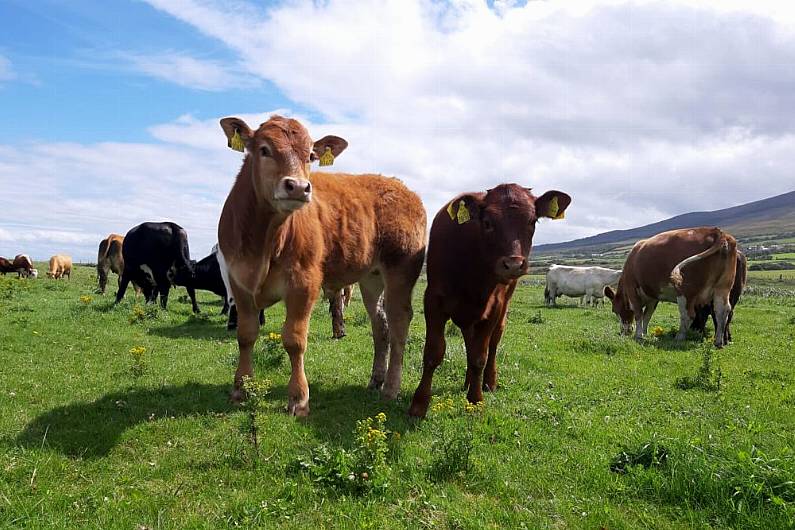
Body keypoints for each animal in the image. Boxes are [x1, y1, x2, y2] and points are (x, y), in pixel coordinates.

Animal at [216, 114, 430, 412]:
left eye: (310, 156)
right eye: (264, 150)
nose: (298, 186)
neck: (264, 241)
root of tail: (400, 186)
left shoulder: (304, 283)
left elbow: (294, 340)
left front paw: (298, 398)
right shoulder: (238, 281)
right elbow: (246, 335)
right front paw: (240, 388)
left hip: (401, 270)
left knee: (399, 324)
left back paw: (390, 388)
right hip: (371, 278)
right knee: (381, 326)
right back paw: (376, 379)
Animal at [410, 185, 572, 416]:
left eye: (532, 221)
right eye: (487, 222)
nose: (513, 264)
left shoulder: (494, 307)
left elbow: (480, 356)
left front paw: (476, 400)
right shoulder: (433, 301)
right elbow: (433, 352)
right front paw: (419, 403)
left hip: (502, 309)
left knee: (493, 343)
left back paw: (487, 382)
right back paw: (468, 381)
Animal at [608, 226, 740, 346]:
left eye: (614, 310)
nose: (624, 332)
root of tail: (717, 232)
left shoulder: (632, 290)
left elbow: (639, 314)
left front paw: (639, 335)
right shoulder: (653, 296)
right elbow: (647, 316)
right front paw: (645, 333)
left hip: (685, 291)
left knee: (688, 315)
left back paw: (679, 337)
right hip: (722, 288)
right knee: (722, 310)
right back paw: (718, 342)